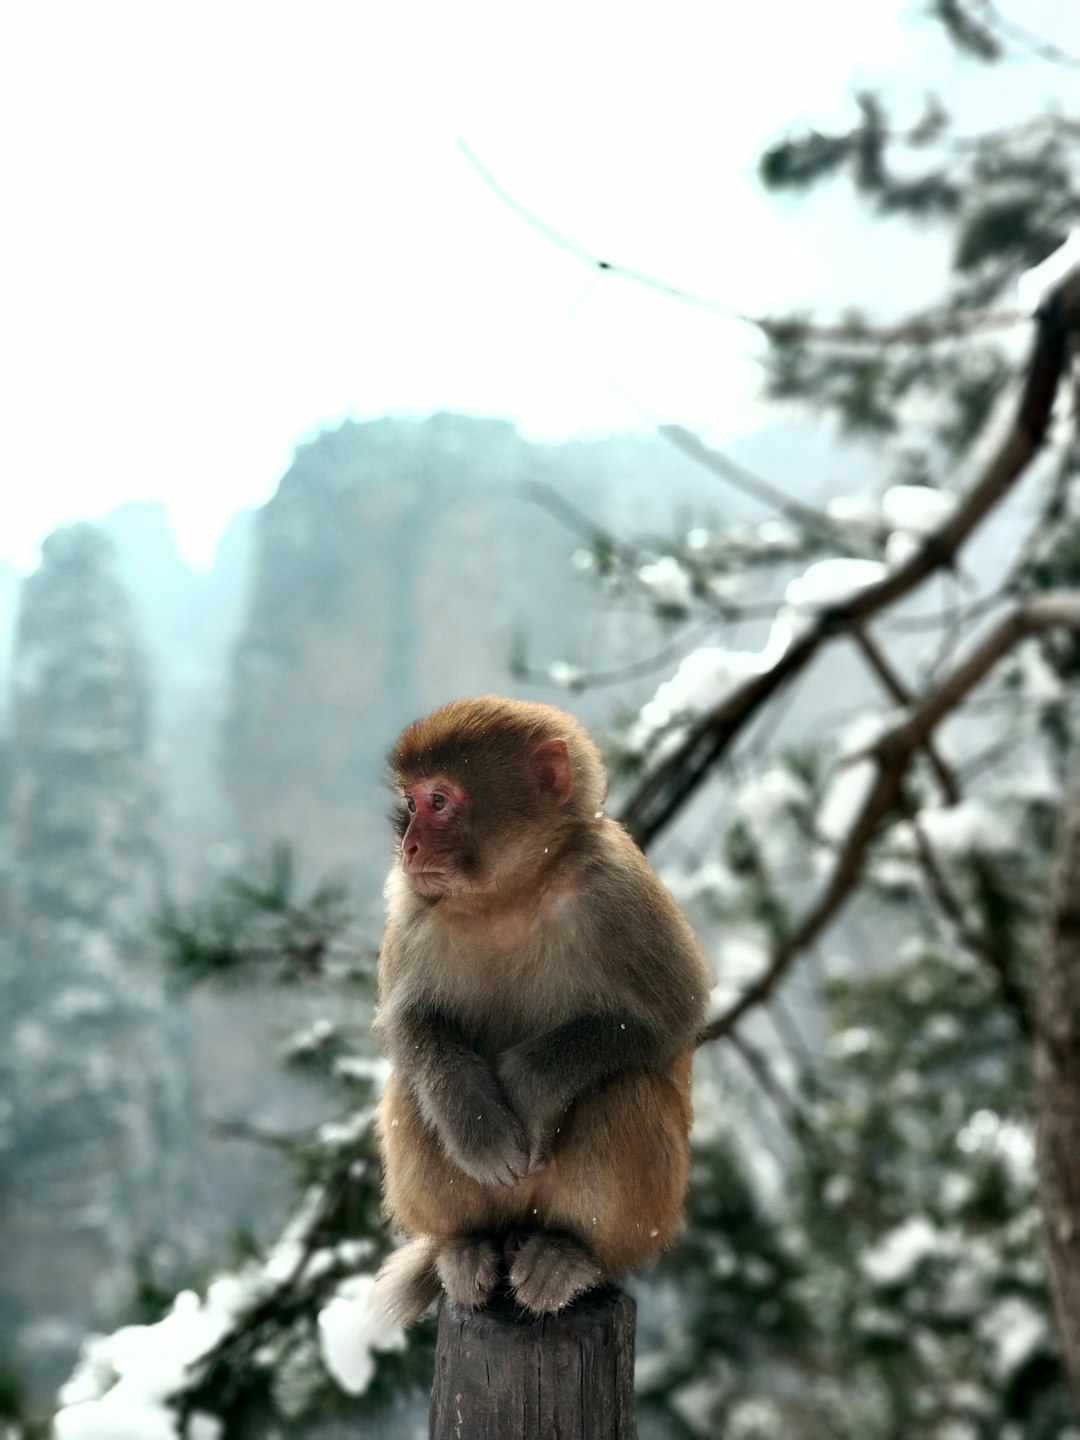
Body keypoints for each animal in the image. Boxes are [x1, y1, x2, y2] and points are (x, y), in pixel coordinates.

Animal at [371, 691, 711, 1319]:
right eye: (412, 803)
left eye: (440, 801)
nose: (409, 847)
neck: (511, 891)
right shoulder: (410, 906)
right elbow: (410, 1022)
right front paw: (477, 1122)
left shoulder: (615, 886)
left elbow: (674, 1011)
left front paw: (529, 1090)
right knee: (411, 1086)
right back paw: (463, 1246)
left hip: (642, 1215)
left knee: (623, 1086)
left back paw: (574, 1257)